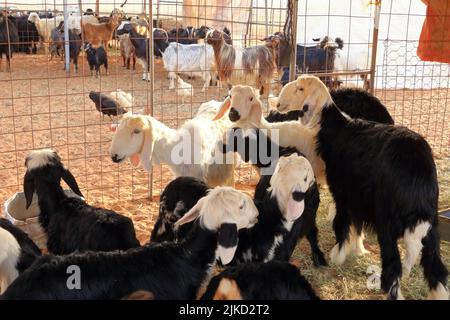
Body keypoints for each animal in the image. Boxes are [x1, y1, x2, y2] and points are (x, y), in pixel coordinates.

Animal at [278, 74, 446, 300]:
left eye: (301, 89)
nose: (278, 103)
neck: (336, 128)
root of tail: (418, 170)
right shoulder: (357, 195)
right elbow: (356, 225)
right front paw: (357, 249)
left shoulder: (342, 192)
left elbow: (341, 223)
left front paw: (338, 255)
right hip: (431, 220)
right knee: (436, 266)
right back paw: (439, 293)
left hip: (387, 220)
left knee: (393, 265)